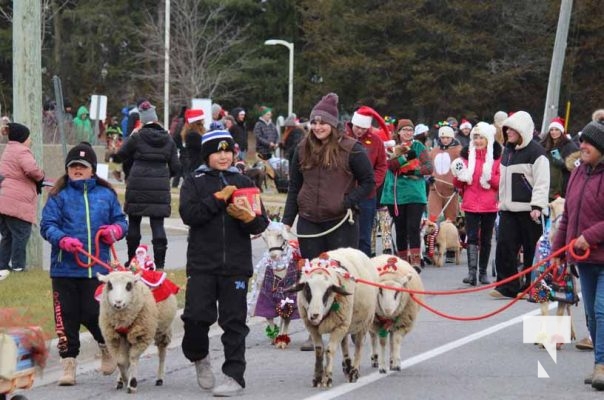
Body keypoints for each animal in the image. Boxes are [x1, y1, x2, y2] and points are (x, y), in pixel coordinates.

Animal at [288, 247, 378, 388]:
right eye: (307, 289)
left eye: (328, 290)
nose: (314, 315)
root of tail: (354, 249)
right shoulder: (312, 327)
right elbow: (319, 350)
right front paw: (317, 378)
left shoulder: (340, 325)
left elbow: (330, 350)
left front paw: (327, 378)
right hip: (346, 323)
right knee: (344, 343)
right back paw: (347, 366)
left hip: (363, 321)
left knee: (359, 346)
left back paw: (354, 372)